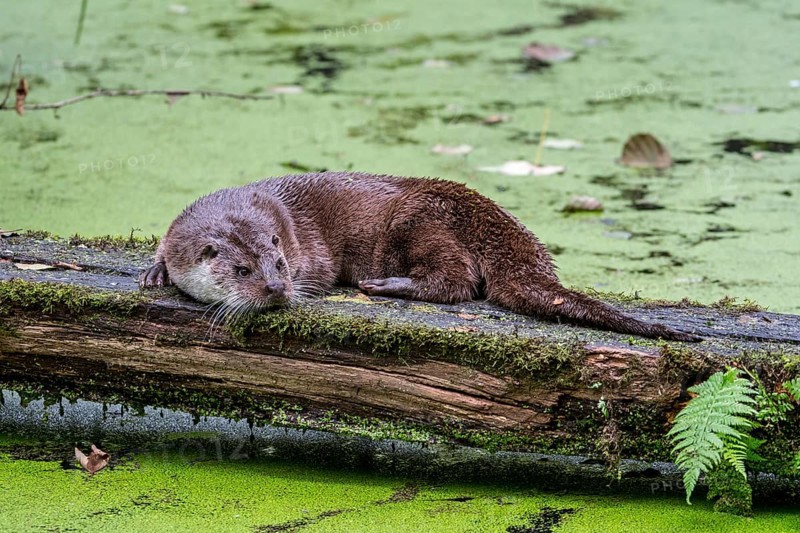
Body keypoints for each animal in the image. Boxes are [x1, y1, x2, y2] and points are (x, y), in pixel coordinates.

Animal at [139, 172, 698, 341]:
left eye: (278, 266)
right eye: (241, 270)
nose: (277, 290)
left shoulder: (308, 252)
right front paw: (155, 270)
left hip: (417, 218)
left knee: (458, 280)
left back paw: (386, 285)